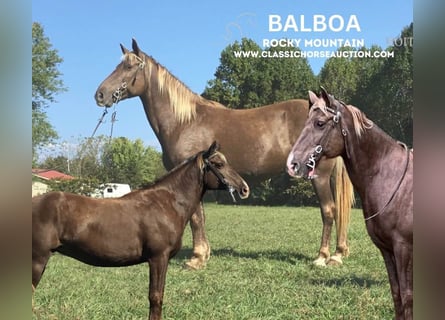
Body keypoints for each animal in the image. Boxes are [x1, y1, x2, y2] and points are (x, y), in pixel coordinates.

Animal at [33, 142, 248, 320]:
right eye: (219, 164)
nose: (244, 189)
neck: (166, 204)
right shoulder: (158, 258)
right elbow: (155, 297)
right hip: (38, 260)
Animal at [93, 38, 354, 268]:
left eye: (128, 66)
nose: (100, 94)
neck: (185, 122)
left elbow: (196, 217)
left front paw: (197, 259)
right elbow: (200, 217)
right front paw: (203, 254)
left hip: (319, 176)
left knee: (328, 211)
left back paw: (322, 257)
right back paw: (338, 254)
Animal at [286, 86, 412, 318]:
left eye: (320, 123)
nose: (292, 164)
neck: (391, 177)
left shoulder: (403, 248)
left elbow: (407, 297)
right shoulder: (387, 250)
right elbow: (397, 294)